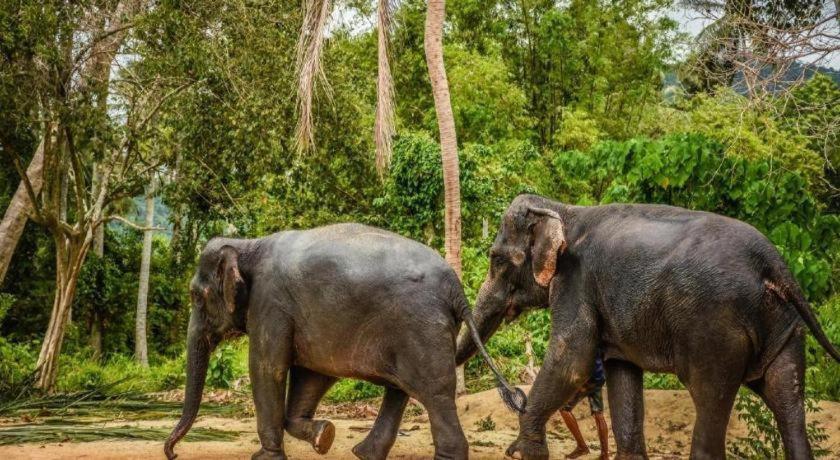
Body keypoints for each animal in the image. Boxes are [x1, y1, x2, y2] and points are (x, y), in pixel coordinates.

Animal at [164, 224, 524, 460]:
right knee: (401, 390)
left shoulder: (270, 303)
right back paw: (363, 453)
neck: (247, 244)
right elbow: (312, 375)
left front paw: (265, 457)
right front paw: (323, 436)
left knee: (435, 394)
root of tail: (456, 288)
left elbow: (268, 368)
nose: (173, 454)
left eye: (196, 296)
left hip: (421, 328)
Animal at [456, 193, 836, 460]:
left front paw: (521, 452)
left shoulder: (576, 280)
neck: (564, 210)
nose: (513, 395)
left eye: (496, 260)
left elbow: (572, 359)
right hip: (785, 327)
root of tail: (772, 263)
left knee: (711, 401)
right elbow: (621, 372)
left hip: (715, 331)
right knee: (787, 401)